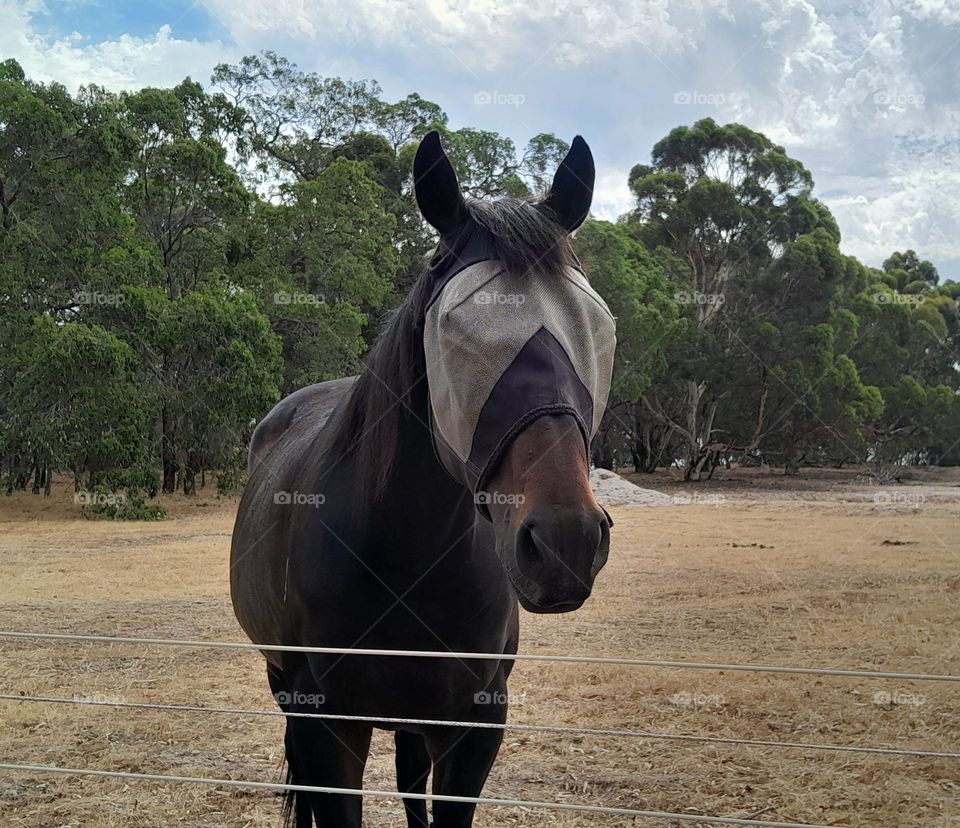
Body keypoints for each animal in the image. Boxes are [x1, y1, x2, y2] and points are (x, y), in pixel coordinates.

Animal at [230, 130, 617, 828]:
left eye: (597, 327)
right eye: (457, 333)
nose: (565, 543)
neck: (404, 551)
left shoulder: (473, 728)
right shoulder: (327, 729)